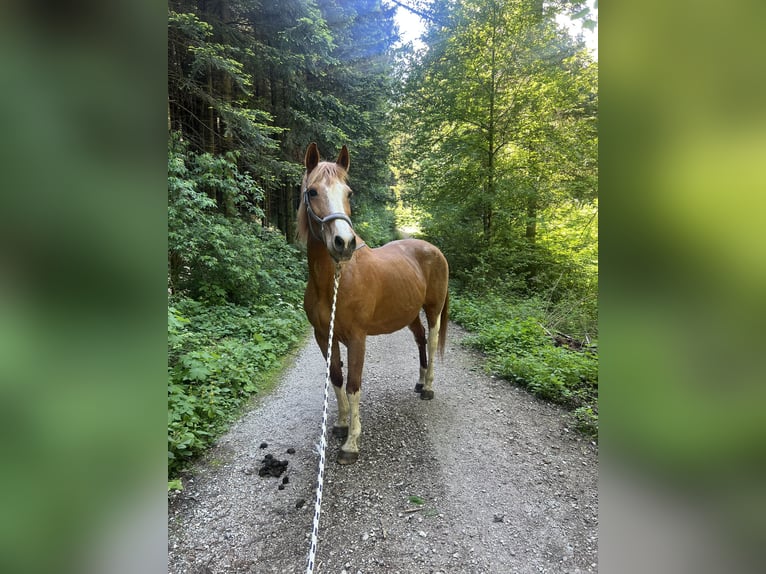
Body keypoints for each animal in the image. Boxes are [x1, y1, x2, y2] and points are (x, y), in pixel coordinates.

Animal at [297, 142, 450, 465]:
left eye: (349, 192)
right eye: (313, 191)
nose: (344, 243)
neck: (334, 282)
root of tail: (433, 249)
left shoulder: (357, 338)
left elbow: (354, 385)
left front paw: (351, 444)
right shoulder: (323, 336)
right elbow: (336, 378)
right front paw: (341, 425)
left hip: (433, 310)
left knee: (430, 342)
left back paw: (428, 388)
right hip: (409, 314)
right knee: (419, 340)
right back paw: (420, 382)